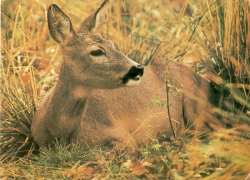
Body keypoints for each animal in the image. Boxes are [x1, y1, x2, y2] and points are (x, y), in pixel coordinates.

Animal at [30, 0, 219, 148]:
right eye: (96, 51)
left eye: (112, 45)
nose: (138, 68)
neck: (57, 132)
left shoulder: (120, 134)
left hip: (197, 104)